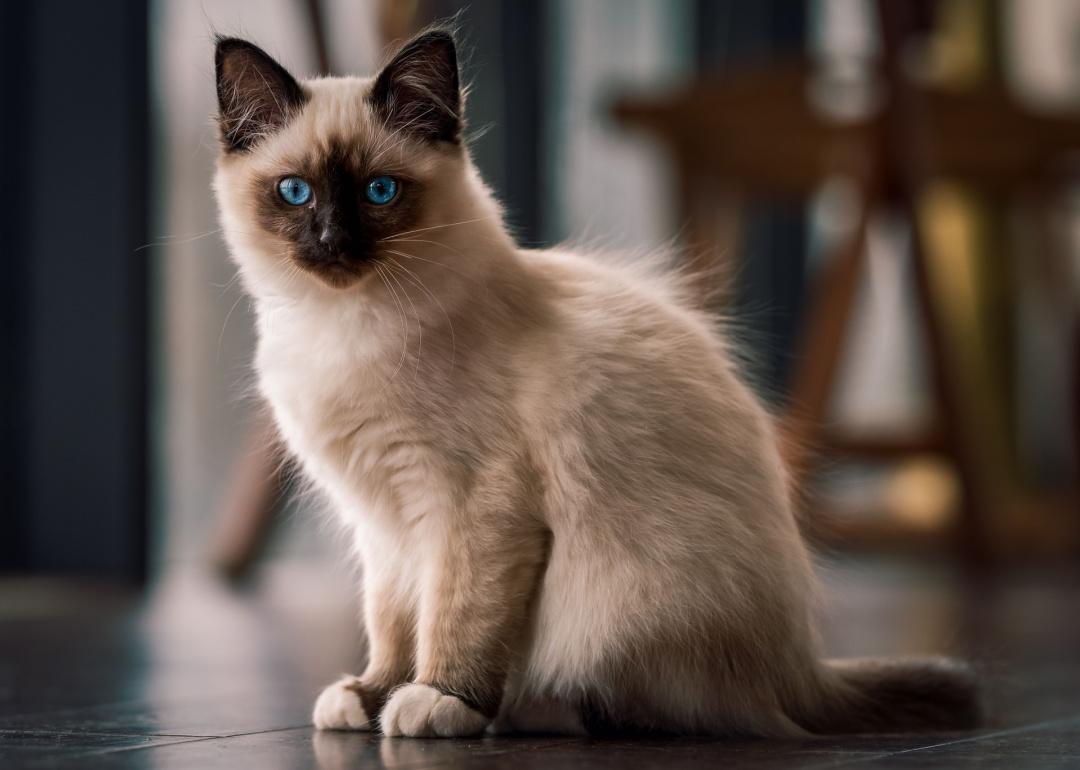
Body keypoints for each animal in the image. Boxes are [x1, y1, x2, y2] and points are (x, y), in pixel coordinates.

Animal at [210, 29, 980, 738]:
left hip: (626, 600)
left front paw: (438, 700)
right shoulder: (383, 523)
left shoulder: (467, 507)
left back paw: (530, 711)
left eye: (379, 191)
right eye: (295, 192)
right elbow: (394, 623)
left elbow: (454, 616)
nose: (333, 241)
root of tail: (805, 670)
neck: (342, 329)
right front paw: (371, 696)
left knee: (676, 711)